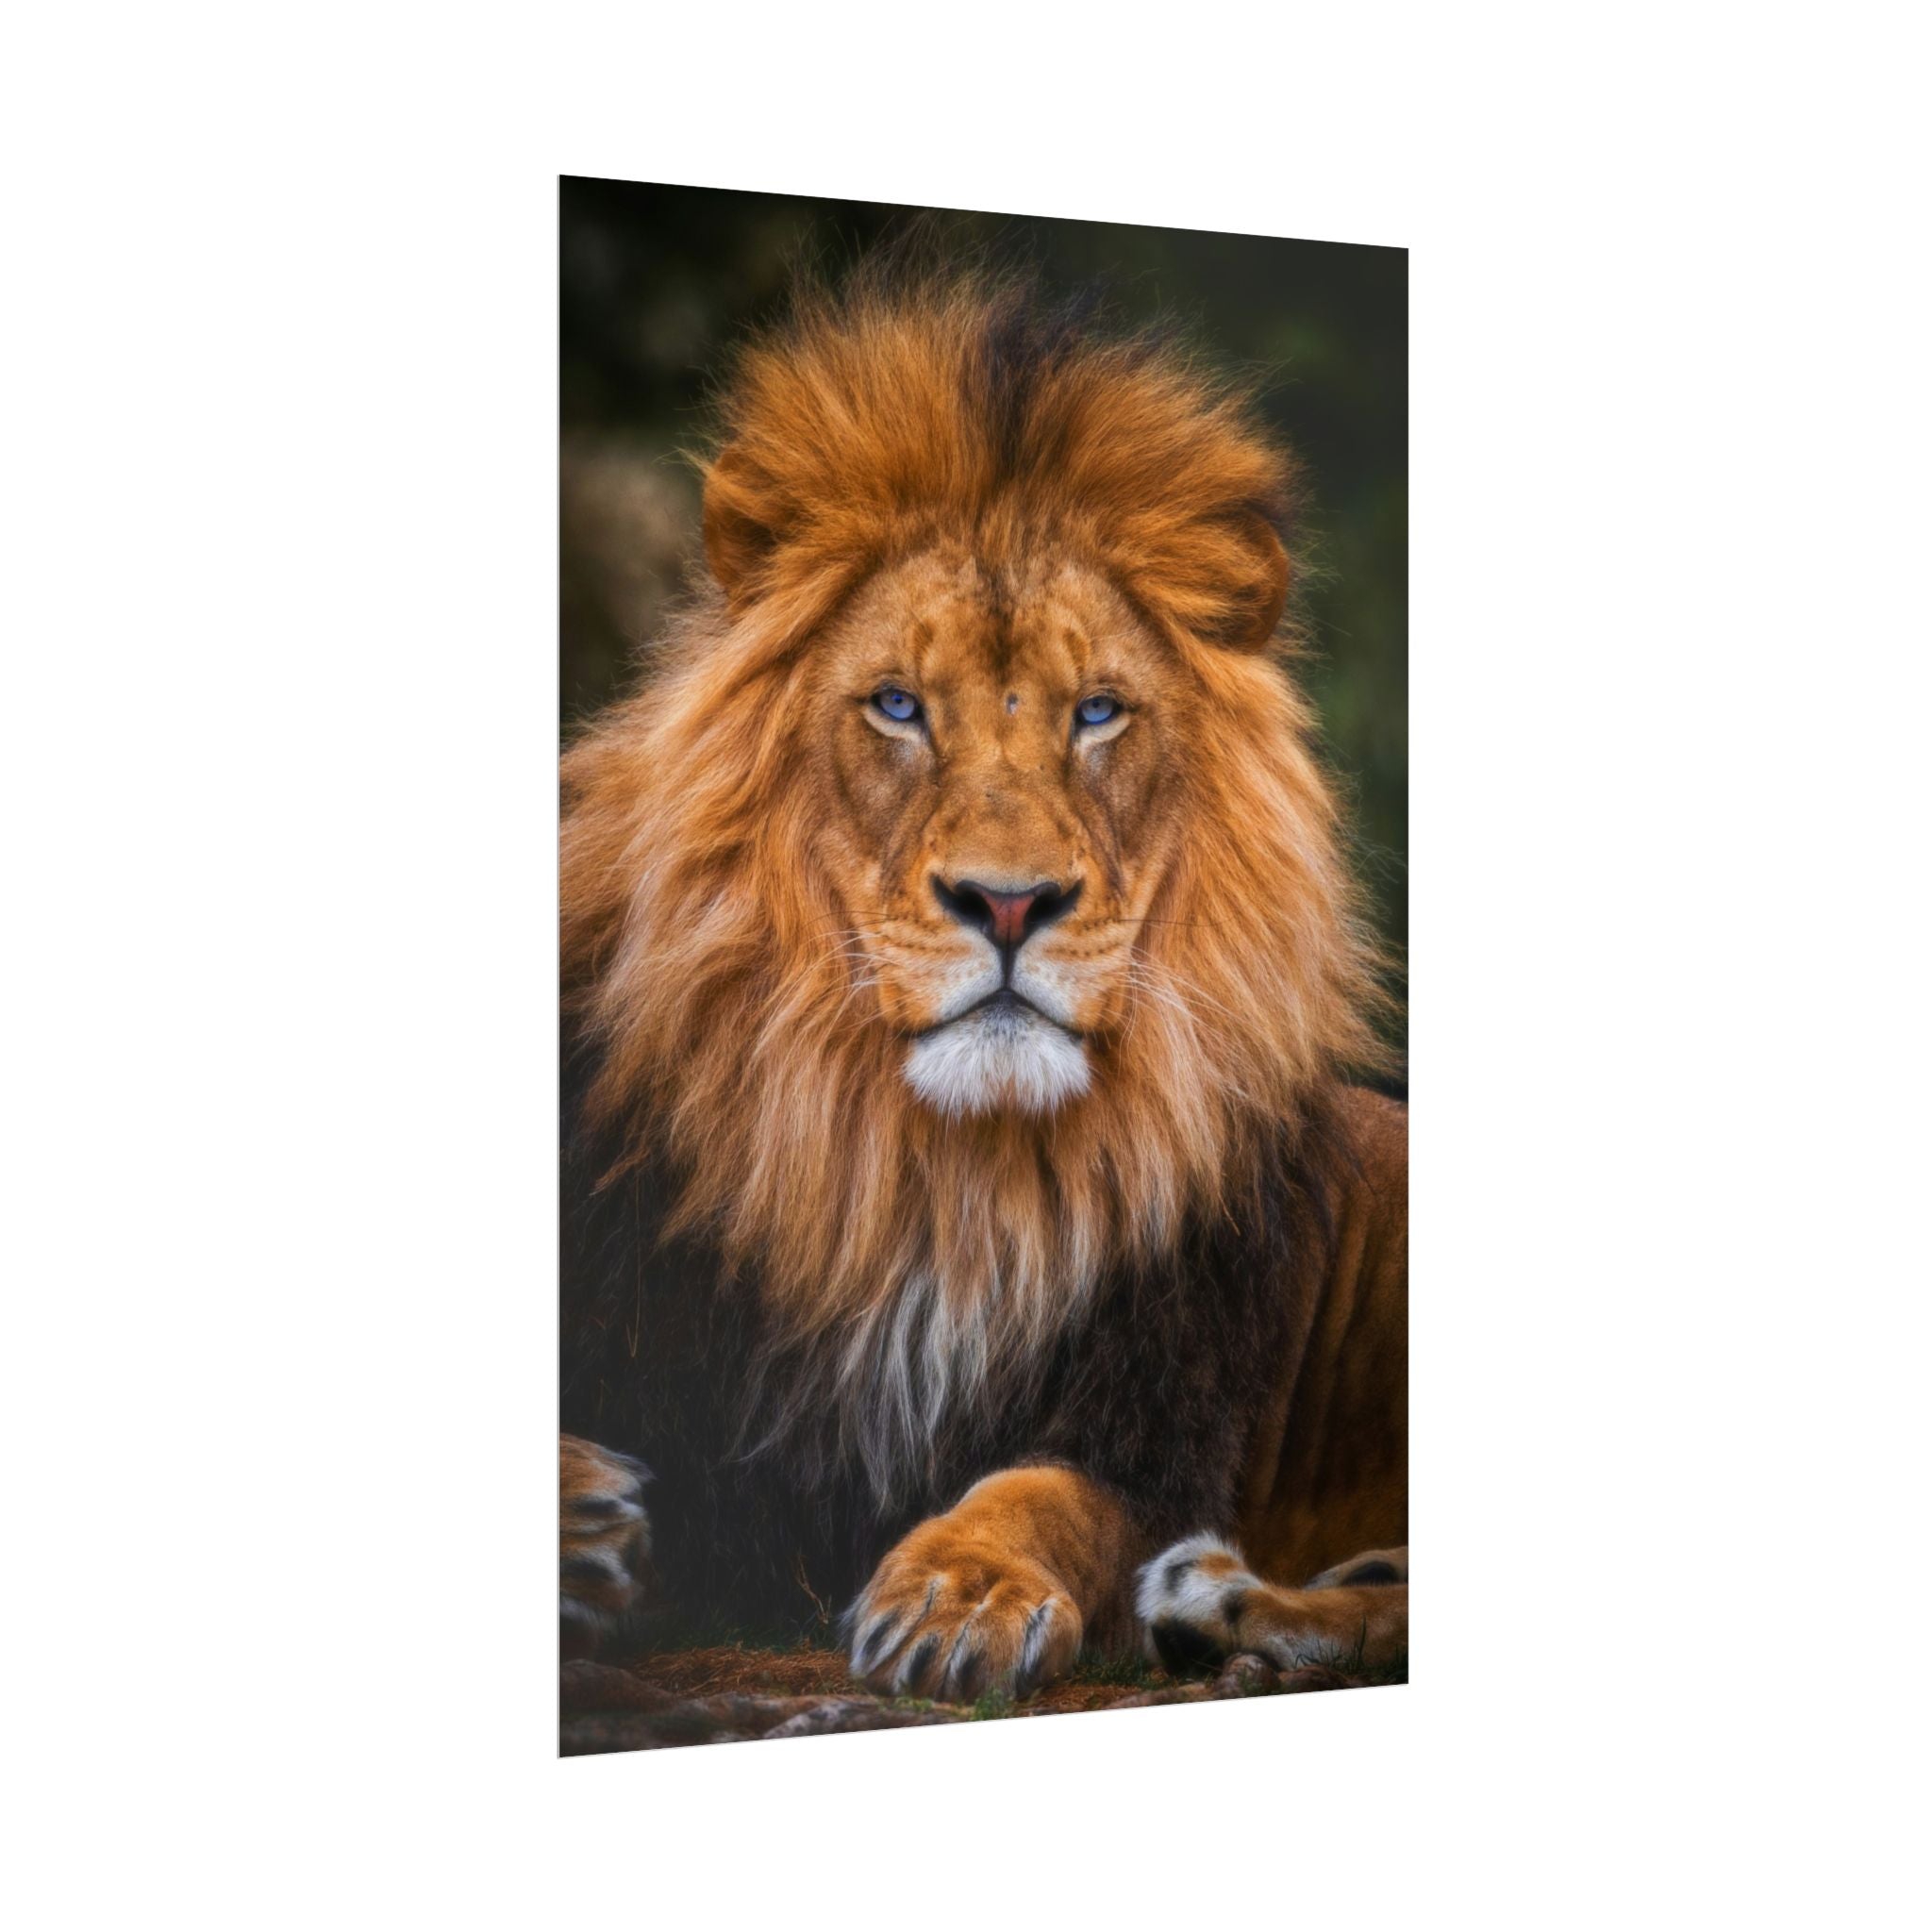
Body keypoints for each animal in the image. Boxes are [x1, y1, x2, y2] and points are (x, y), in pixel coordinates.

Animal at [559, 268, 1407, 1706]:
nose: (1008, 904)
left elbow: (1040, 1496)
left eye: (1097, 712)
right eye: (898, 706)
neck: (940, 1177)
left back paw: (1225, 1605)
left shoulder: (1152, 1424)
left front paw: (962, 1591)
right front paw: (579, 1520)